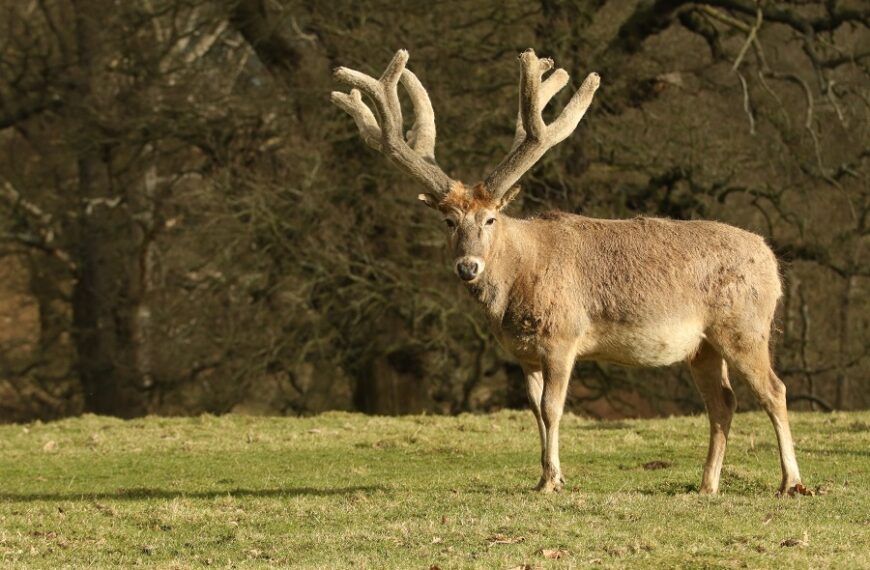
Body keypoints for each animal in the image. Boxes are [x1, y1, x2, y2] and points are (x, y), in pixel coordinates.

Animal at [332, 47, 804, 492]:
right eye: (449, 221)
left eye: (490, 219)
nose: (468, 266)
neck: (520, 280)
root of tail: (771, 261)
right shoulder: (524, 353)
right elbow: (534, 411)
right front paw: (546, 476)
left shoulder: (564, 335)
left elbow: (553, 408)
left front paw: (552, 480)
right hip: (703, 346)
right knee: (723, 401)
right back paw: (707, 485)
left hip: (744, 325)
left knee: (774, 390)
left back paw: (791, 482)